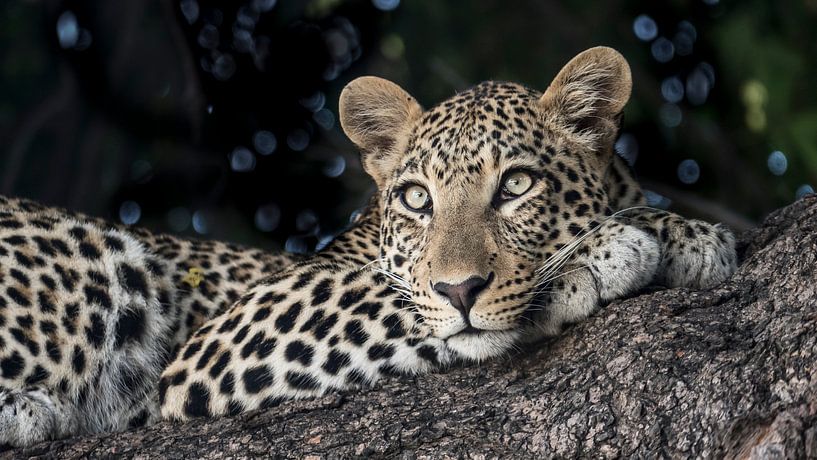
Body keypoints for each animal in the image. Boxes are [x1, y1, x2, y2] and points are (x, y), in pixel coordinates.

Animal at [156, 48, 736, 422]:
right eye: (417, 198)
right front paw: (594, 254)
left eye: (516, 184)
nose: (461, 292)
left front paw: (688, 235)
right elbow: (389, 293)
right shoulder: (223, 336)